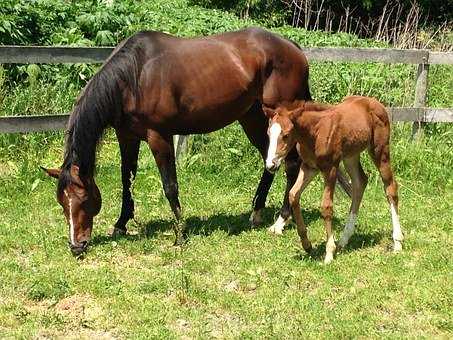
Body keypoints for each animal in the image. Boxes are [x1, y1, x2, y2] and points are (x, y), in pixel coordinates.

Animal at [39, 27, 342, 255]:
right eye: (62, 202)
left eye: (82, 199)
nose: (76, 246)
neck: (134, 76)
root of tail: (293, 48)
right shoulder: (126, 136)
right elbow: (127, 179)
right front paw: (121, 223)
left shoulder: (159, 137)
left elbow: (169, 185)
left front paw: (180, 234)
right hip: (254, 118)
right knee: (269, 163)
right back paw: (256, 212)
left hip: (280, 121)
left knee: (290, 165)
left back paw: (280, 221)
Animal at [264, 95, 404, 262]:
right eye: (268, 134)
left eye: (285, 135)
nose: (271, 165)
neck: (315, 132)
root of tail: (375, 103)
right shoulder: (309, 167)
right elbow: (293, 195)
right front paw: (306, 244)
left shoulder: (330, 168)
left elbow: (326, 206)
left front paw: (329, 252)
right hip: (351, 156)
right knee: (360, 182)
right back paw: (344, 239)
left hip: (380, 150)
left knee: (390, 187)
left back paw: (397, 242)